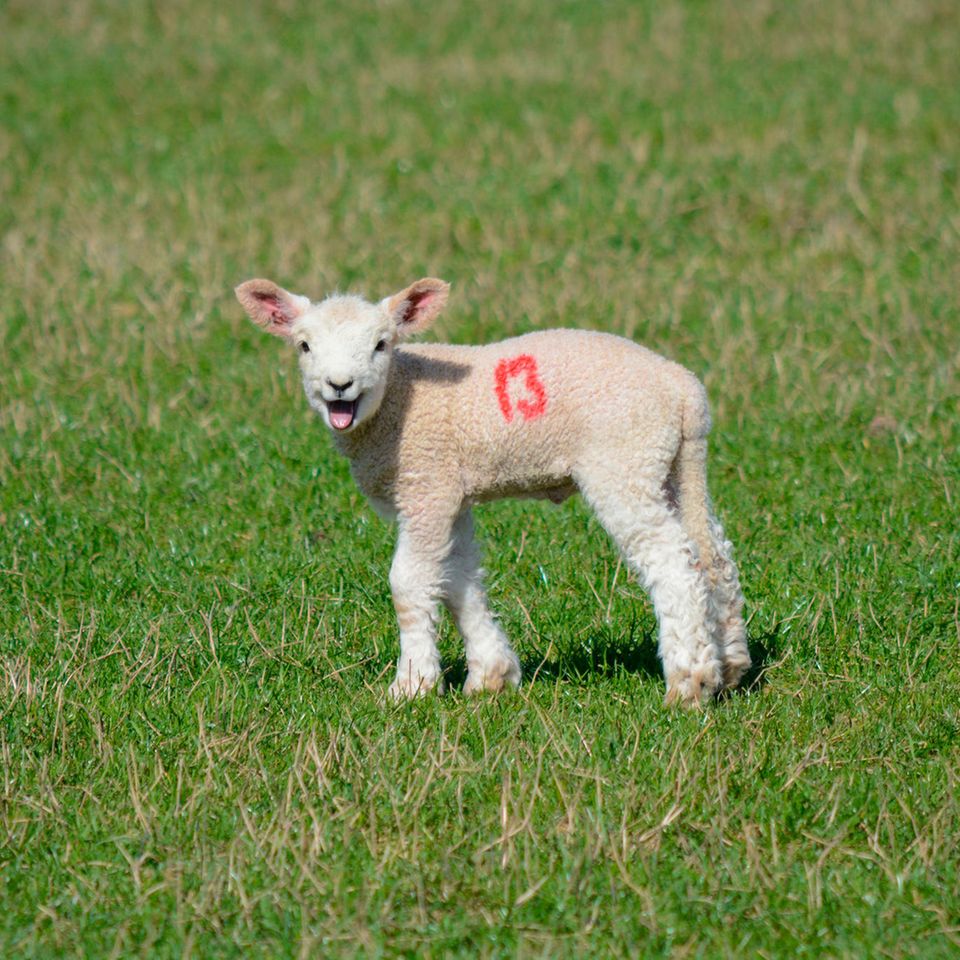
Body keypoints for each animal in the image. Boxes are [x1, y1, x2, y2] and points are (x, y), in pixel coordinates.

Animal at [236, 276, 751, 706]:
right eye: (304, 346)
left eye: (381, 345)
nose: (338, 386)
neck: (398, 400)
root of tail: (682, 387)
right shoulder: (451, 491)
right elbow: (457, 578)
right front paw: (490, 677)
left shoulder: (427, 484)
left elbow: (409, 583)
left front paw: (411, 686)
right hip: (673, 465)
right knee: (713, 555)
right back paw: (730, 668)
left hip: (623, 462)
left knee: (673, 564)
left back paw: (690, 684)